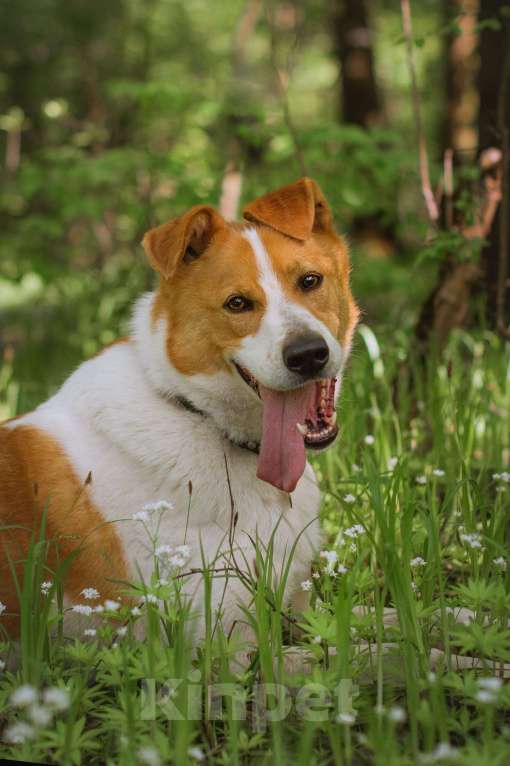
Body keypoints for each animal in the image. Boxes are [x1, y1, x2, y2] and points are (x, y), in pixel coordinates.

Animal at [0, 178, 358, 640]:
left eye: (310, 280)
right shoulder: (223, 636)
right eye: (237, 304)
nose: (307, 355)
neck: (193, 410)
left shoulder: (303, 610)